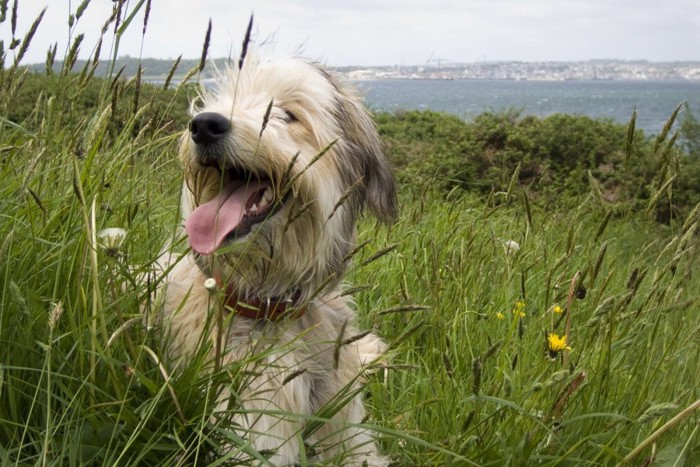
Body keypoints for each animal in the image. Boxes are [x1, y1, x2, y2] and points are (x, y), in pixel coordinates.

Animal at [155, 54, 396, 464]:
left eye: (288, 114)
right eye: (225, 99)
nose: (204, 125)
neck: (268, 306)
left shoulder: (348, 429)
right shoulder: (254, 425)